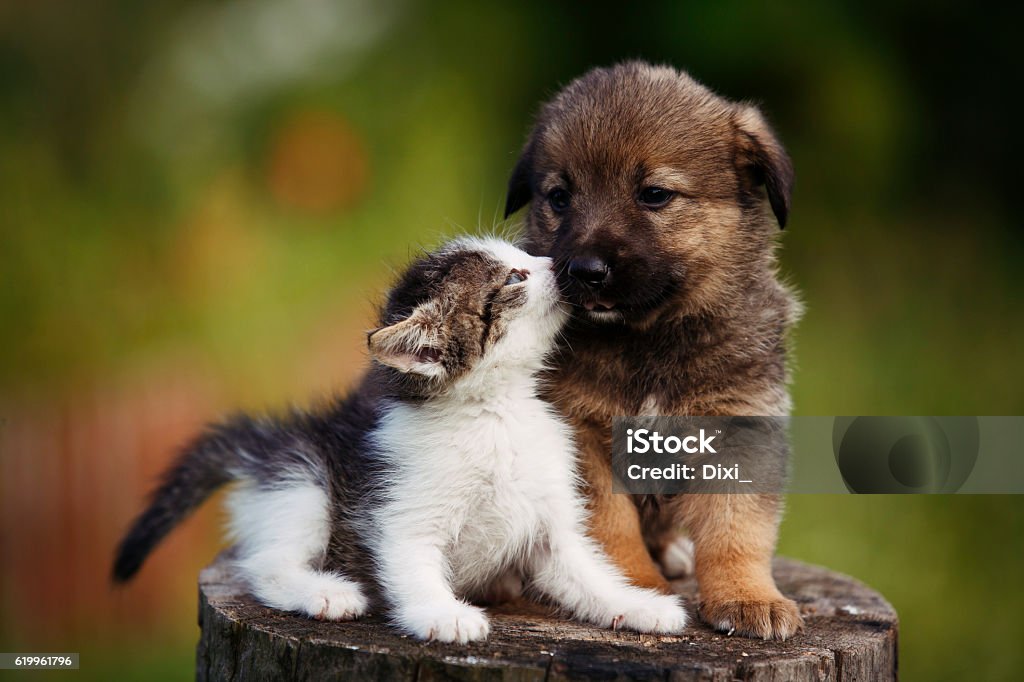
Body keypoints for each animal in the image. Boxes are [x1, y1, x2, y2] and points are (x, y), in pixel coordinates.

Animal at [114, 236, 688, 638]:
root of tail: (269, 443)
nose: (564, 265)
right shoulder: (400, 512)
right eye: (515, 275)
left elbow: (587, 572)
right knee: (266, 563)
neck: (495, 413)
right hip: (301, 482)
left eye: (524, 255)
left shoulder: (551, 525)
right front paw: (443, 614)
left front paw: (635, 606)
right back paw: (325, 593)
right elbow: (413, 567)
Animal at [501, 62, 798, 638]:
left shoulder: (741, 425)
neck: (648, 341)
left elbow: (737, 528)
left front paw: (749, 597)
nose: (585, 271)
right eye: (560, 197)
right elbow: (608, 526)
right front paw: (631, 588)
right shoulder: (580, 433)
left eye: (655, 194)